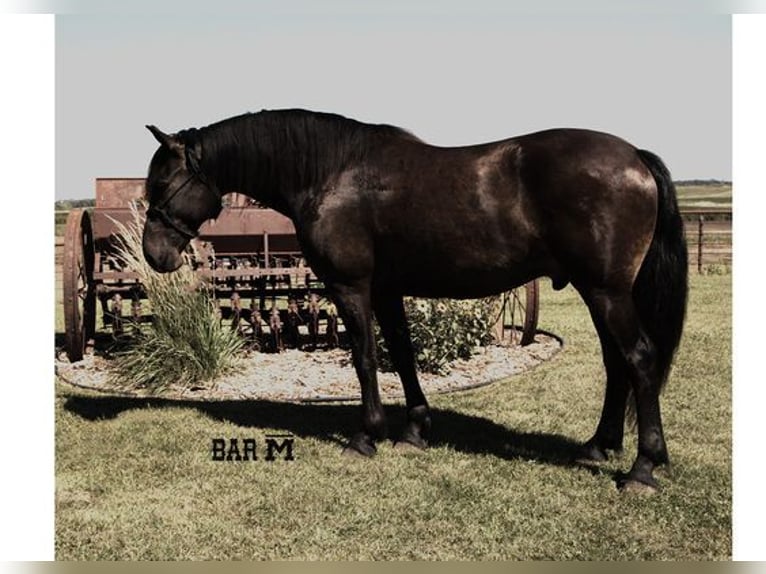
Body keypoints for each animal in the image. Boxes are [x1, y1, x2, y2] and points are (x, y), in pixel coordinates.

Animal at [142, 109, 687, 492]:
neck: (333, 172)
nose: (153, 253)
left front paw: (366, 437)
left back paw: (642, 468)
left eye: (163, 182)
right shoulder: (386, 288)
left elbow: (364, 358)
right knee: (617, 364)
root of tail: (635, 157)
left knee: (639, 359)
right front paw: (414, 431)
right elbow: (402, 356)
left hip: (606, 291)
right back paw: (598, 447)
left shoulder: (351, 286)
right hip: (601, 292)